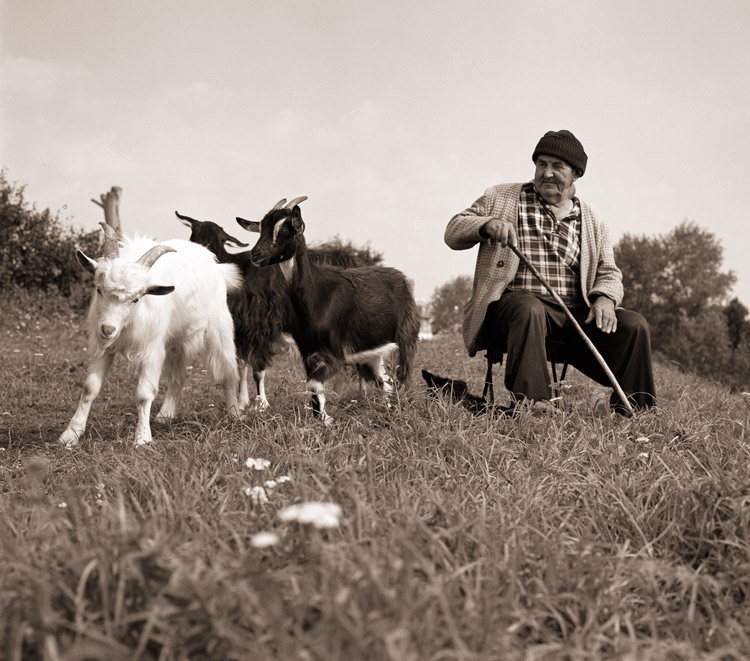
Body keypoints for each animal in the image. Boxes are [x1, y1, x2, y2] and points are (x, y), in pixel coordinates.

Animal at [62, 224, 244, 446]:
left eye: (136, 299)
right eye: (99, 290)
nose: (107, 329)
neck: (128, 323)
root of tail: (216, 266)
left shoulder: (151, 350)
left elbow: (143, 394)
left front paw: (142, 438)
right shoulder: (102, 347)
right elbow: (90, 387)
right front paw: (71, 434)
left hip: (219, 328)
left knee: (228, 372)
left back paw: (234, 415)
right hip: (174, 342)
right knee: (179, 376)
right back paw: (165, 415)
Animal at [238, 196, 420, 422]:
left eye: (286, 228)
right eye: (261, 228)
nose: (256, 254)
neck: (316, 295)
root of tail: (402, 277)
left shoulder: (335, 355)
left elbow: (314, 384)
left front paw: (326, 420)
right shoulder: (307, 352)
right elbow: (312, 387)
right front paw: (320, 418)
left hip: (407, 337)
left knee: (403, 375)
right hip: (372, 351)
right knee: (383, 381)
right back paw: (388, 409)